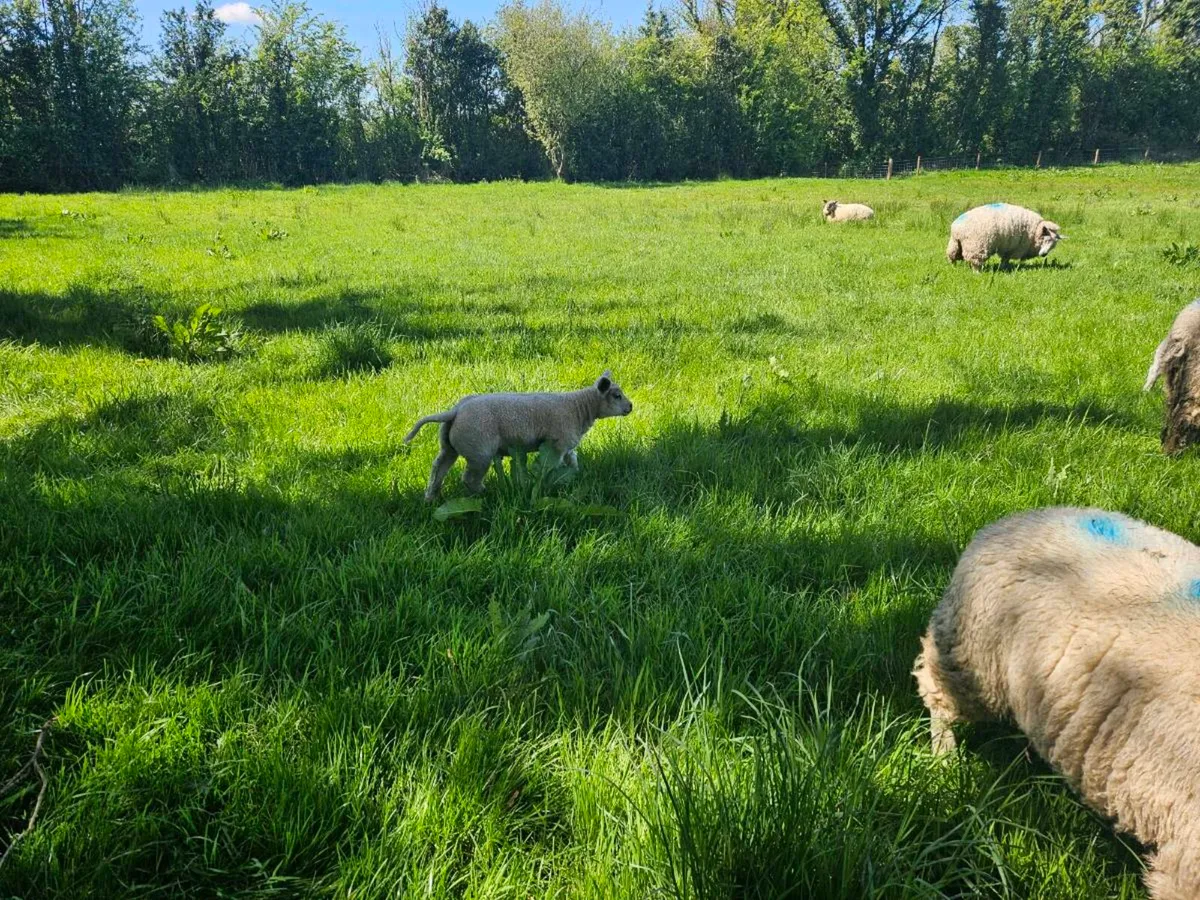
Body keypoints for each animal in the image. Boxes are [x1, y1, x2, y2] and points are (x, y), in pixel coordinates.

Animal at [403, 370, 633, 502]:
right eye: (617, 395)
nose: (631, 406)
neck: (578, 407)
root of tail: (455, 411)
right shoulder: (557, 444)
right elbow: (553, 467)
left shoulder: (567, 446)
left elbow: (573, 461)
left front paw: (576, 476)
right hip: (479, 451)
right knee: (469, 478)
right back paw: (484, 494)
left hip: (450, 445)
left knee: (439, 467)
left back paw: (431, 497)